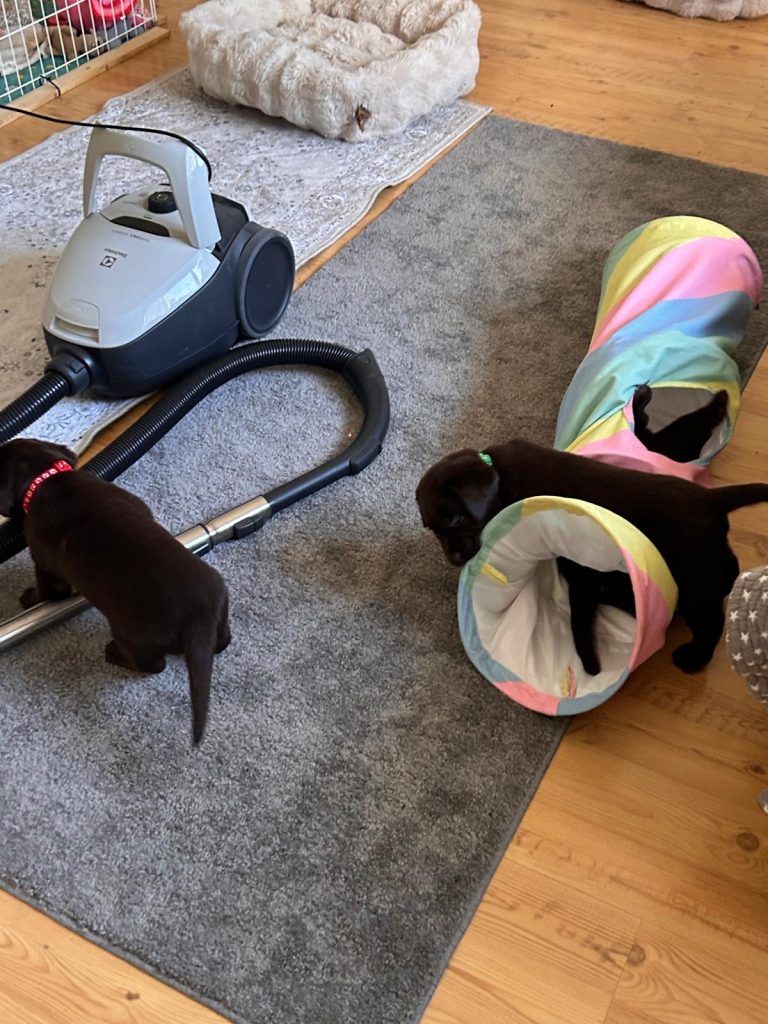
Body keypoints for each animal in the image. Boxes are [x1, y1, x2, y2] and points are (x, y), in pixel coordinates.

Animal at [0, 438, 230, 744]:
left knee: (154, 665)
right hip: (221, 611)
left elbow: (48, 591)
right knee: (222, 641)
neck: (47, 477)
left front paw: (28, 598)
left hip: (133, 637)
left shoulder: (46, 566)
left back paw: (114, 654)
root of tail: (198, 620)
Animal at [416, 438, 768, 673]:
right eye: (432, 528)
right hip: (709, 557)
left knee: (712, 622)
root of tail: (711, 499)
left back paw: (694, 659)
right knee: (730, 567)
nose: (454, 559)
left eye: (456, 518)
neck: (499, 474)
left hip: (693, 580)